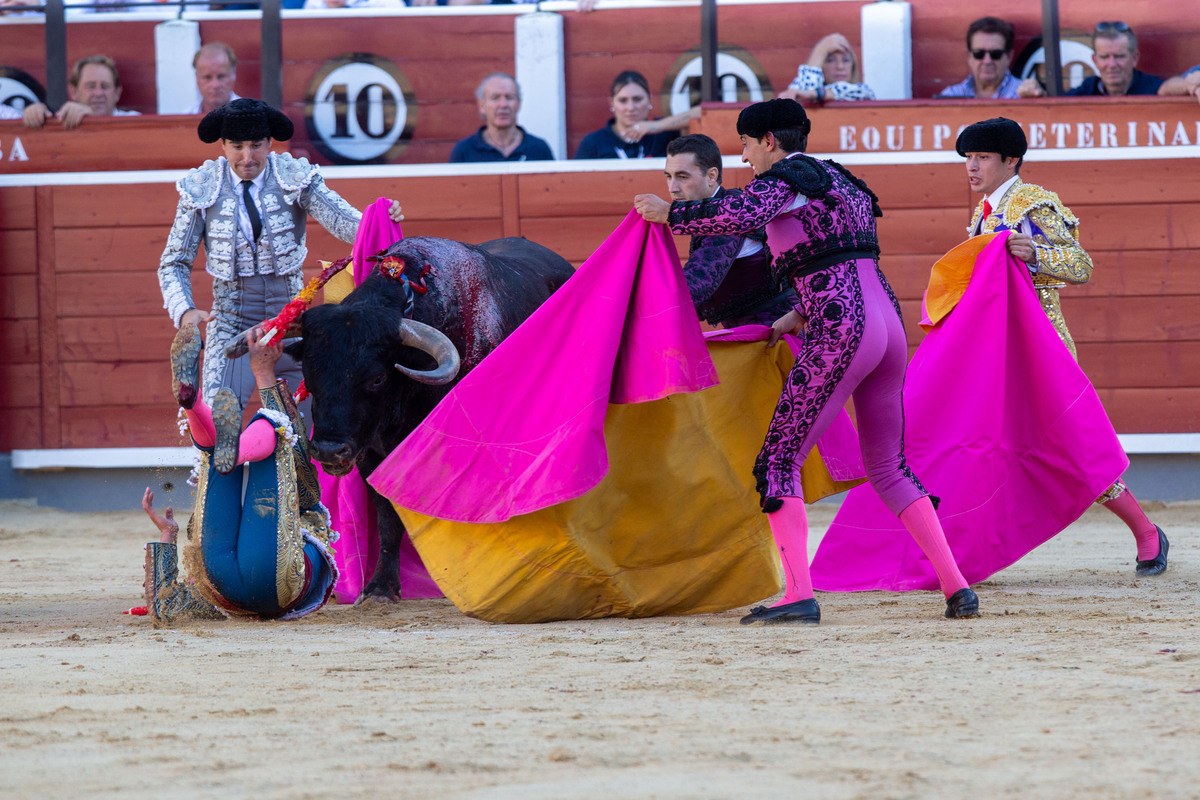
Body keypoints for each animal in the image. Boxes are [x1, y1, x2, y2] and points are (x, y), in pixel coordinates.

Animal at [285, 235, 576, 604]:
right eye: (310, 376)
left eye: (377, 378)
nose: (328, 451)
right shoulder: (371, 453)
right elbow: (388, 517)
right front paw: (381, 588)